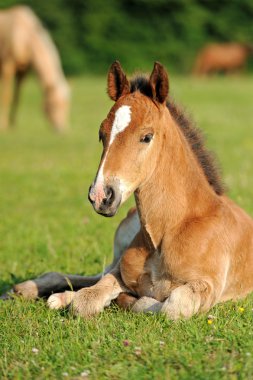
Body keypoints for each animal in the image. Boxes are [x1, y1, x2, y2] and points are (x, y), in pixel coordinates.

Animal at [3, 62, 253, 320]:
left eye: (147, 136)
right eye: (101, 134)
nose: (101, 196)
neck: (171, 230)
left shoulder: (207, 286)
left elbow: (170, 306)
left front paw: (122, 300)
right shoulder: (121, 271)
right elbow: (89, 297)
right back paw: (26, 290)